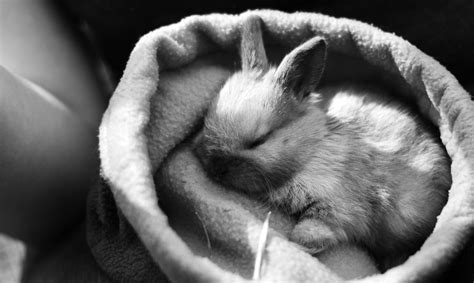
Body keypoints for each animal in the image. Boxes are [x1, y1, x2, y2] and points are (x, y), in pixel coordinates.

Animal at [193, 16, 452, 270]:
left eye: (259, 140)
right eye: (207, 120)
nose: (215, 168)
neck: (312, 148)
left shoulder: (338, 206)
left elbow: (315, 229)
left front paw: (297, 246)